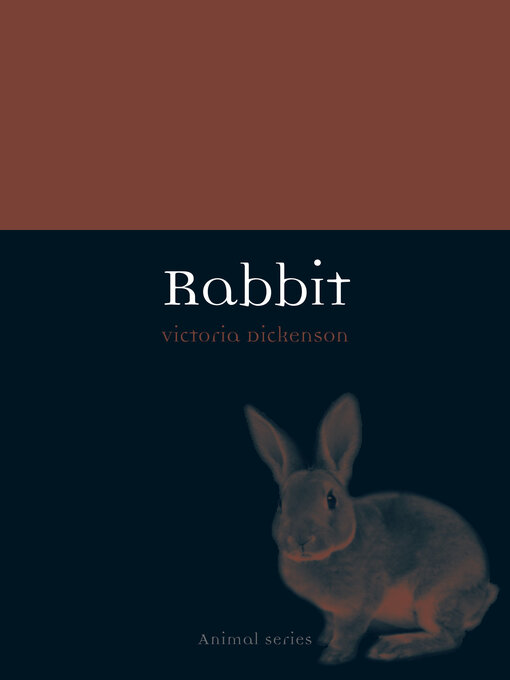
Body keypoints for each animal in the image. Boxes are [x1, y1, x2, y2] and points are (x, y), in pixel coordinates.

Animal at [245, 394, 498, 663]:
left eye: (331, 499)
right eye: (281, 504)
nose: (300, 538)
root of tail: (483, 591)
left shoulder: (356, 606)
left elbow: (348, 631)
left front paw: (333, 655)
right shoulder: (330, 611)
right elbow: (331, 624)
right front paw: (324, 639)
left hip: (433, 600)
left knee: (450, 637)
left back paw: (393, 647)